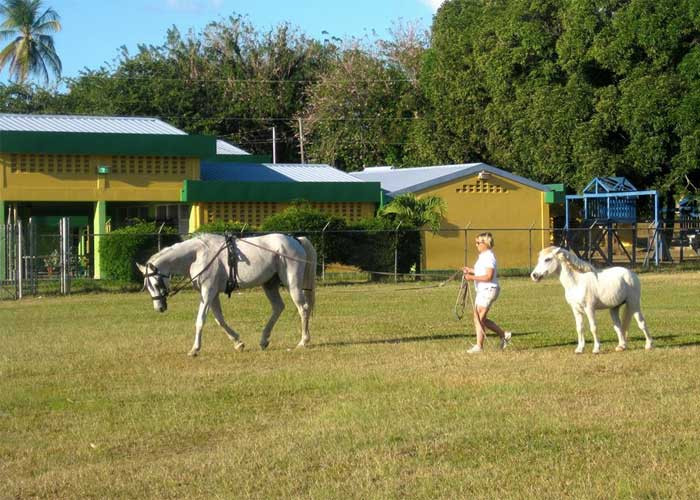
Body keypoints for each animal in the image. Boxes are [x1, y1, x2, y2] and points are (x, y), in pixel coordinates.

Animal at [137, 233, 318, 356]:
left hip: (292, 284)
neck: (198, 255)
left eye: (156, 284)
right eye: (148, 287)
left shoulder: (208, 292)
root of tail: (295, 240)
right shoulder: (212, 295)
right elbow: (220, 320)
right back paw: (264, 340)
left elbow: (200, 320)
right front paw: (238, 343)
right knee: (278, 307)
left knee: (303, 308)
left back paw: (303, 341)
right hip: (269, 285)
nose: (159, 307)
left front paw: (195, 349)